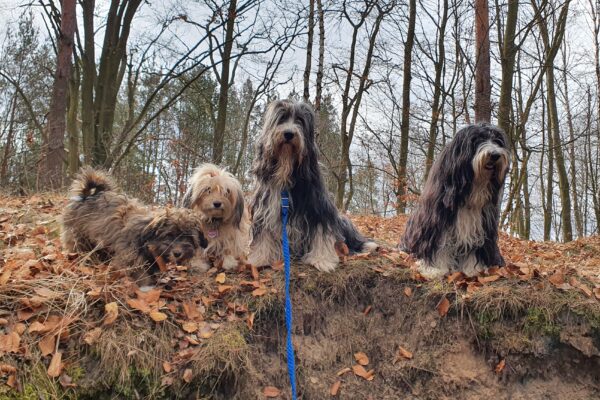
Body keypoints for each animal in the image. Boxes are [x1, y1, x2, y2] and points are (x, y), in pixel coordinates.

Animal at [62, 167, 209, 282]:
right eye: (169, 235)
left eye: (188, 237)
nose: (178, 253)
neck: (147, 239)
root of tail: (87, 195)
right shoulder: (130, 259)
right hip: (78, 236)